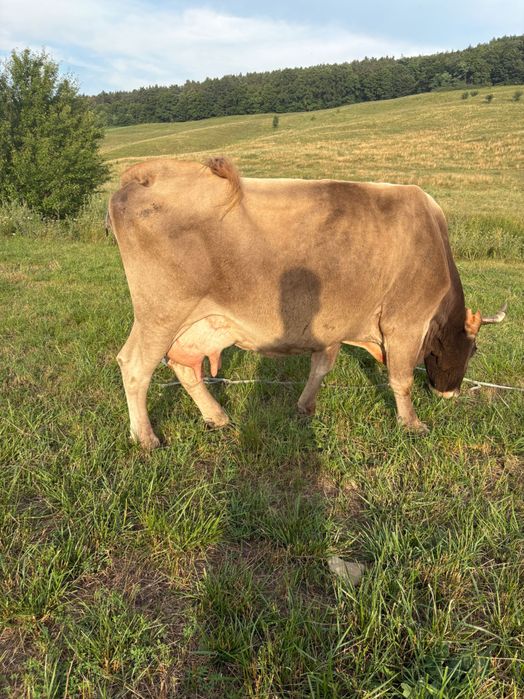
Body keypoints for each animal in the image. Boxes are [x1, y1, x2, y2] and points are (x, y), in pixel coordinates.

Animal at [108, 157, 506, 449]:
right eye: (473, 350)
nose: (450, 392)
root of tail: (145, 173)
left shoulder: (330, 326)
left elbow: (321, 369)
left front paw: (305, 407)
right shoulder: (404, 322)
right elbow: (402, 379)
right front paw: (411, 424)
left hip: (192, 323)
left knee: (184, 368)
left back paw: (217, 416)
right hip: (161, 313)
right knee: (135, 366)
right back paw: (146, 438)